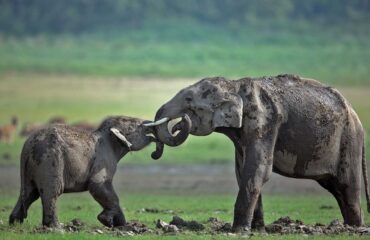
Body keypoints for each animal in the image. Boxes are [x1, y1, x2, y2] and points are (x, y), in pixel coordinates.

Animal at [8, 116, 162, 227]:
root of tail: (28, 147)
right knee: (51, 191)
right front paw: (107, 221)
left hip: (33, 165)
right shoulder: (103, 158)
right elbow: (97, 185)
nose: (154, 154)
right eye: (136, 126)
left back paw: (15, 223)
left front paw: (121, 225)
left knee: (30, 193)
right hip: (50, 159)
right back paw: (57, 228)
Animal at [146, 74, 368, 232]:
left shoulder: (264, 122)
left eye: (189, 99)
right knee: (336, 188)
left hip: (349, 141)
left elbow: (258, 170)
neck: (234, 85)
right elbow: (242, 171)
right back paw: (350, 227)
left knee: (346, 186)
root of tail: (356, 116)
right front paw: (258, 230)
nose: (179, 123)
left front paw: (238, 231)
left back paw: (353, 229)